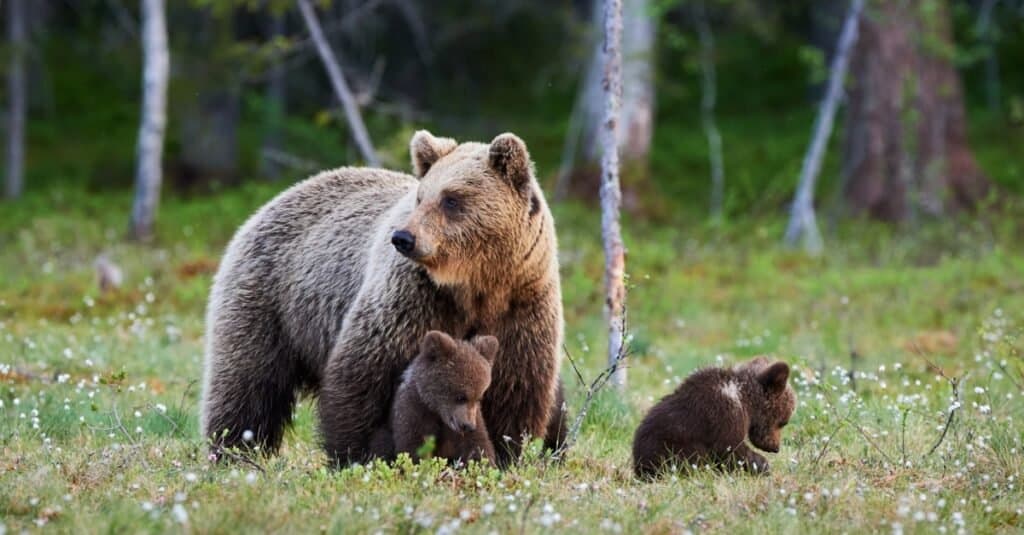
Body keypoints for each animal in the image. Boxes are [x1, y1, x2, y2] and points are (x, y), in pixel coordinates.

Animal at [199, 129, 569, 461]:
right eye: (421, 197)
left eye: (451, 199)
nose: (404, 237)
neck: (475, 285)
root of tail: (276, 198)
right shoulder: (413, 300)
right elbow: (364, 374)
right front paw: (359, 454)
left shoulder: (520, 305)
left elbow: (514, 387)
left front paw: (506, 453)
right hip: (272, 298)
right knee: (248, 382)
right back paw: (234, 448)